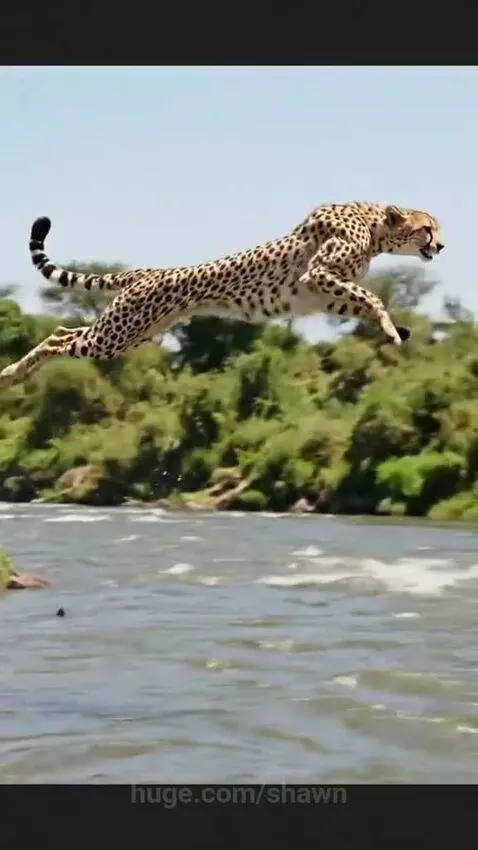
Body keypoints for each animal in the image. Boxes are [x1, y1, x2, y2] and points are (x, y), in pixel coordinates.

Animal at [0, 201, 444, 386]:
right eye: (427, 228)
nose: (440, 246)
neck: (375, 226)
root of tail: (144, 272)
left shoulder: (323, 291)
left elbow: (361, 301)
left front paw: (395, 330)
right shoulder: (315, 275)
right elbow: (373, 298)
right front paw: (391, 329)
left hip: (135, 333)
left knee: (66, 334)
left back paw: (17, 375)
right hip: (117, 334)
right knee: (59, 338)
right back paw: (11, 374)